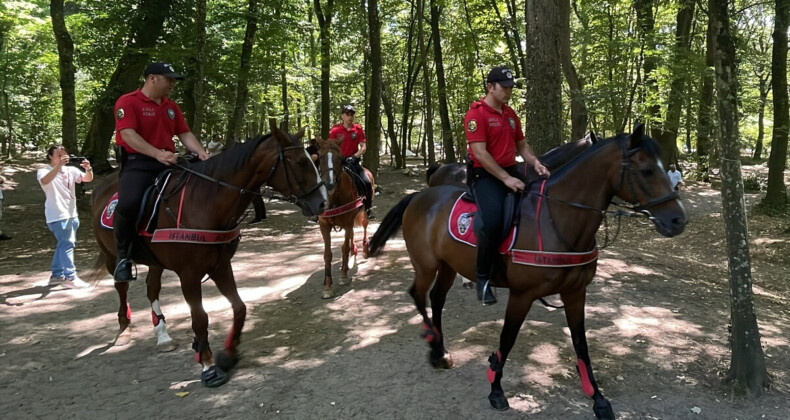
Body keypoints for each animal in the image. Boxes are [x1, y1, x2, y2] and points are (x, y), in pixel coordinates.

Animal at [90, 121, 328, 388]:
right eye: (300, 162)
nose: (322, 203)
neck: (205, 203)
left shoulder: (221, 266)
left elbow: (239, 308)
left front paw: (228, 354)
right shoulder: (189, 275)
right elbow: (200, 318)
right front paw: (208, 364)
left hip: (156, 262)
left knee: (152, 288)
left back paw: (163, 335)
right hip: (111, 256)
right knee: (121, 286)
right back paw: (124, 330)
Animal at [314, 138, 376, 298]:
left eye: (340, 158)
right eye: (321, 157)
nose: (329, 183)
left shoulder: (347, 223)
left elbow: (344, 248)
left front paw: (343, 277)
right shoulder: (324, 226)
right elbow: (328, 254)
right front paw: (327, 286)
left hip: (365, 211)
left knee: (364, 226)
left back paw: (364, 249)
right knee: (352, 236)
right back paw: (353, 252)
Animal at [370, 125, 688, 420]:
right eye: (646, 170)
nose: (678, 220)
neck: (557, 218)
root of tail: (418, 196)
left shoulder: (575, 293)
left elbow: (581, 345)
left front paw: (598, 399)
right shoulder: (522, 295)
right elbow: (507, 340)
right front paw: (496, 390)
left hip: (448, 264)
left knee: (436, 299)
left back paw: (441, 350)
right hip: (426, 264)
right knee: (418, 294)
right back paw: (435, 348)